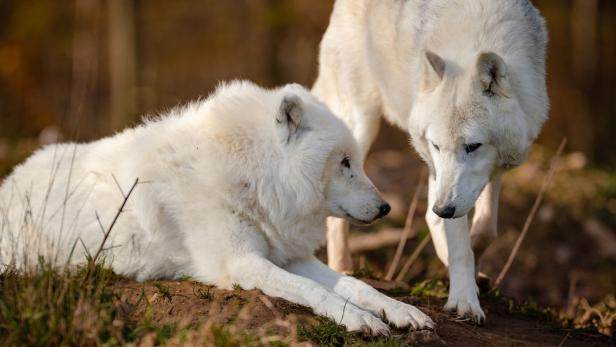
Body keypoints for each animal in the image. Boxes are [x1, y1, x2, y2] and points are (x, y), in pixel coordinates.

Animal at [0, 81, 434, 334]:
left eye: (356, 161)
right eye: (344, 162)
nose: (386, 208)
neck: (254, 175)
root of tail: (10, 180)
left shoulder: (289, 256)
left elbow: (356, 284)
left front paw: (399, 312)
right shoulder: (240, 262)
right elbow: (313, 290)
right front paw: (358, 319)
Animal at [312, 0, 548, 324]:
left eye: (473, 146)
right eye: (438, 144)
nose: (444, 208)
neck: (477, 37)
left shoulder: (490, 171)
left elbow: (485, 229)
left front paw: (472, 272)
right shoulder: (444, 176)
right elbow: (459, 244)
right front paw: (464, 301)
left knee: (429, 214)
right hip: (361, 125)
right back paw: (342, 266)